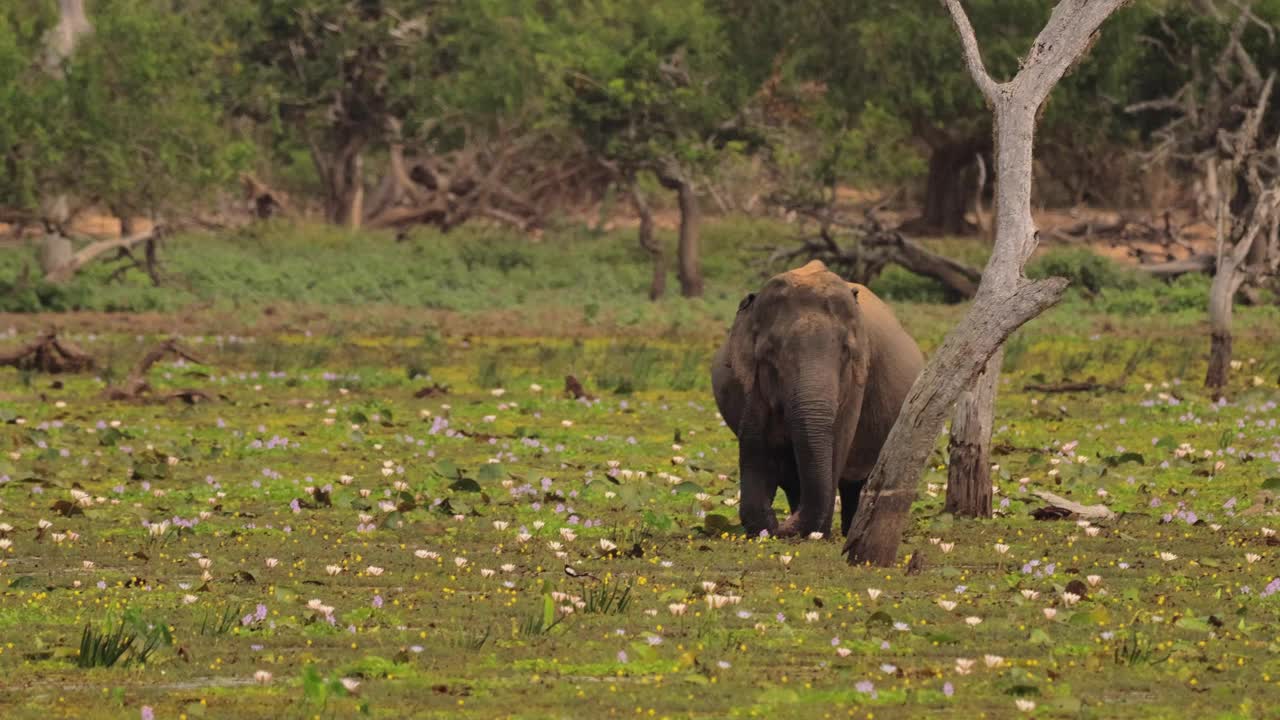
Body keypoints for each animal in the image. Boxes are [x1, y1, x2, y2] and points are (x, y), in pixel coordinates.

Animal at [711, 260, 921, 535]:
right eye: (770, 352)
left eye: (846, 351)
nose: (778, 526)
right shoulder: (753, 384)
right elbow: (756, 438)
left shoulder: (856, 381)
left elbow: (838, 439)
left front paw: (816, 534)